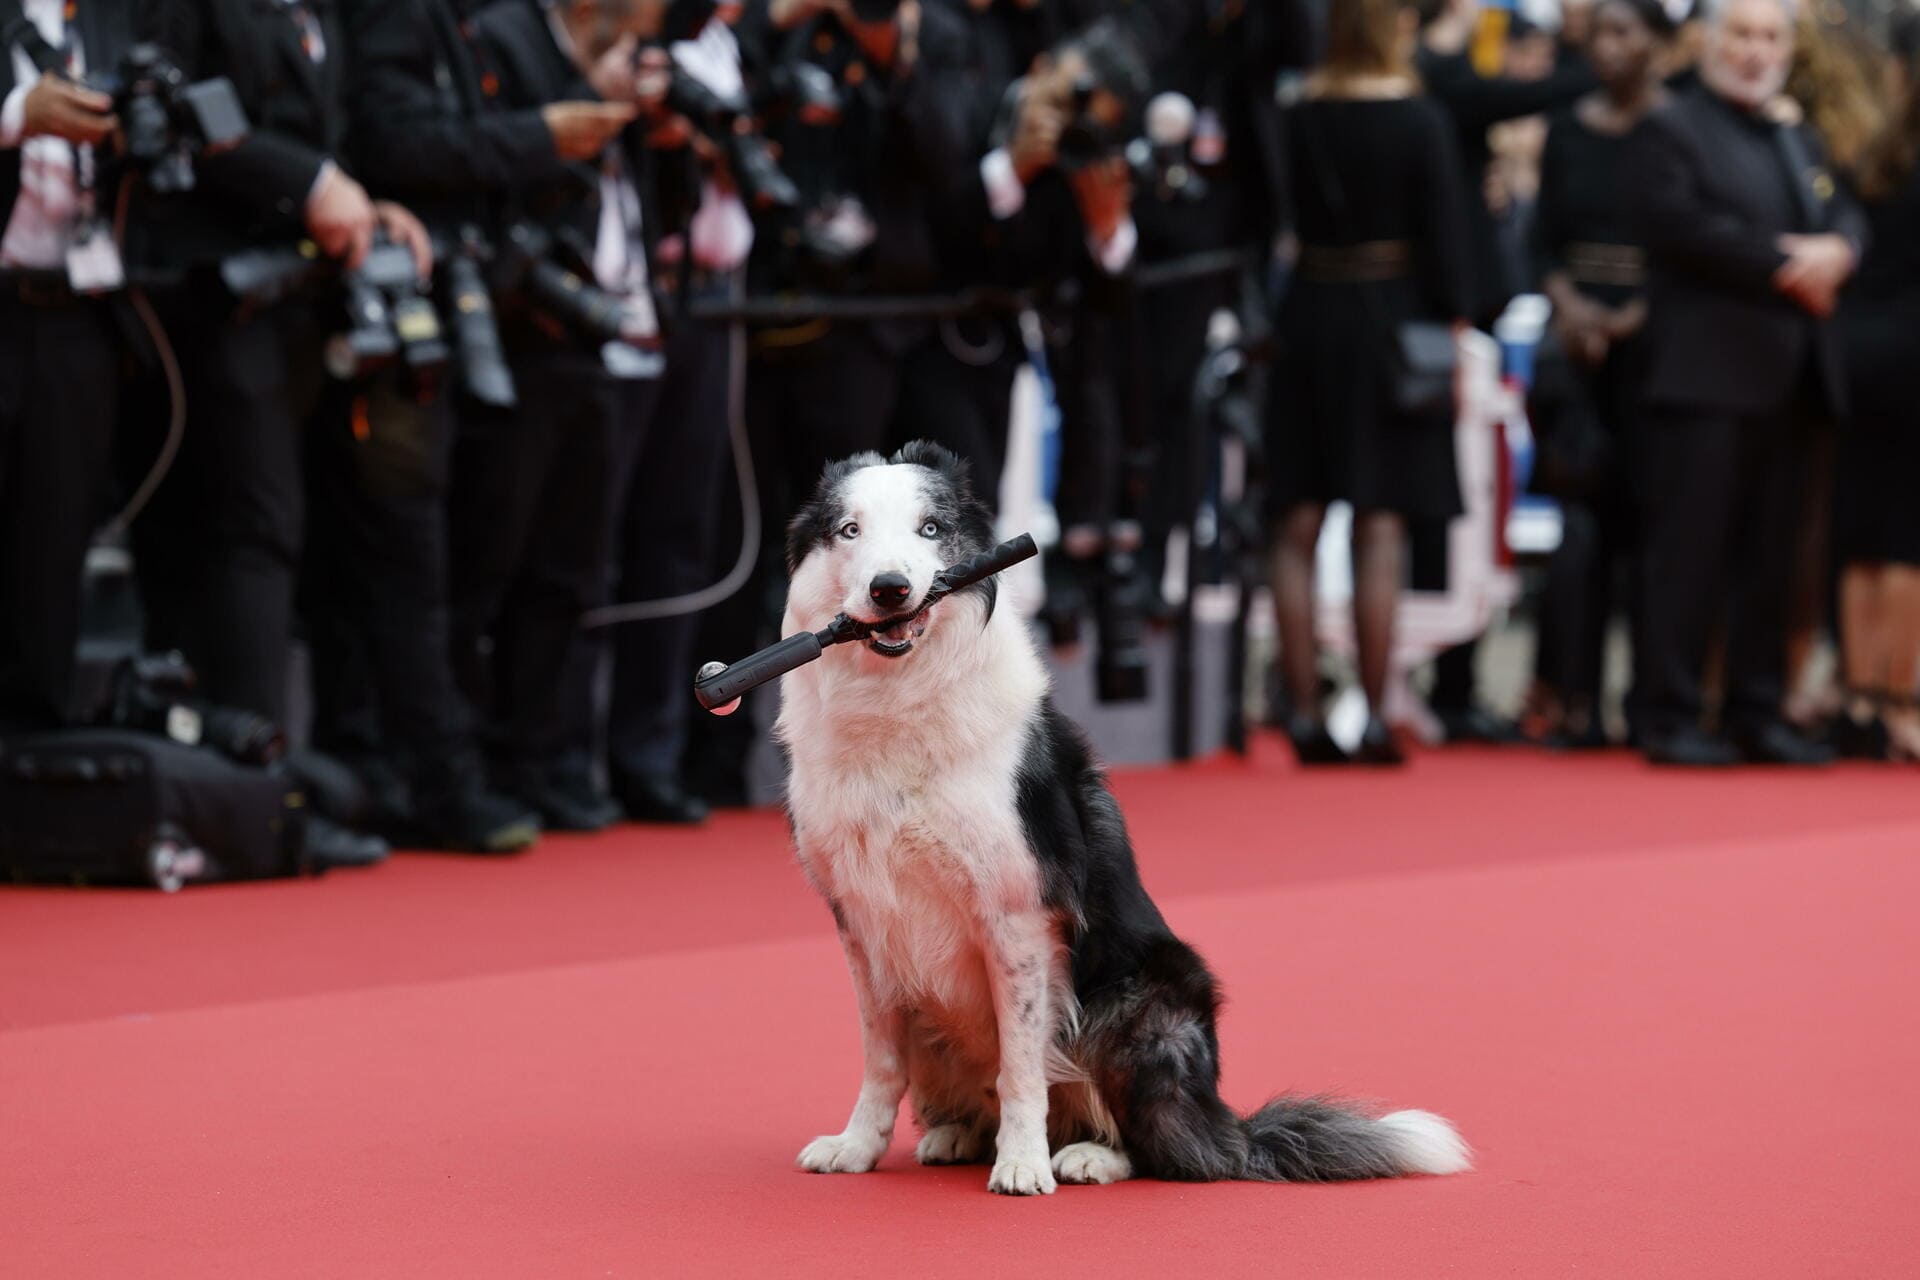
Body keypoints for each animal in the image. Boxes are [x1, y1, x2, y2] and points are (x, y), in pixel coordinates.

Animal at [771, 445, 1459, 1197]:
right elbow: (881, 1061)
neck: (897, 700)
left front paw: (1021, 1164)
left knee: (1170, 1149)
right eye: (849, 531)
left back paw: (1087, 1156)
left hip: (1145, 1001)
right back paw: (959, 1136)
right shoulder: (864, 927)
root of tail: (1228, 1124)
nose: (890, 589)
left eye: (930, 529)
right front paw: (857, 1146)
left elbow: (1021, 1066)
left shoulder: (1016, 918)